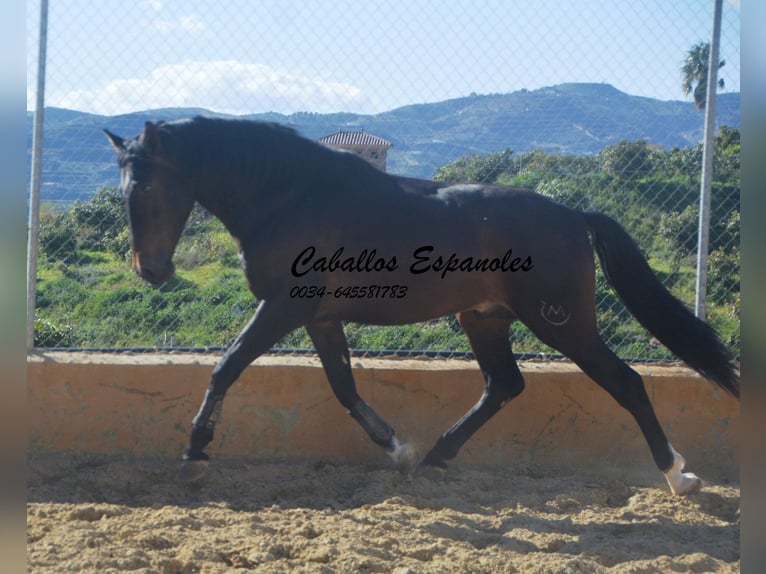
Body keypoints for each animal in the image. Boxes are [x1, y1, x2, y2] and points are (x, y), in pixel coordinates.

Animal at [105, 117, 740, 496]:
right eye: (123, 187)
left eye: (148, 187)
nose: (151, 270)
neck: (291, 197)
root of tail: (572, 215)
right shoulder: (321, 318)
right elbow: (344, 388)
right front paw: (399, 449)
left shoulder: (285, 309)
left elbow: (227, 366)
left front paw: (194, 452)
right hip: (483, 318)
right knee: (504, 385)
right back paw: (435, 456)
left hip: (561, 323)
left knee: (626, 382)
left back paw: (677, 475)